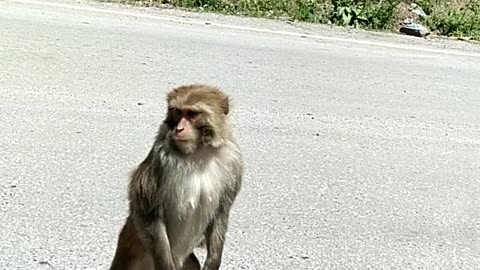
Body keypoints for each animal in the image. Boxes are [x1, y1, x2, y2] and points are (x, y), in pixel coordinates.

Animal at [109, 84, 244, 270]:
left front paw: (213, 262)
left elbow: (221, 212)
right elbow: (148, 211)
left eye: (192, 114)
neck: (198, 152)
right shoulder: (160, 158)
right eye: (178, 112)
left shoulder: (233, 161)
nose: (179, 129)